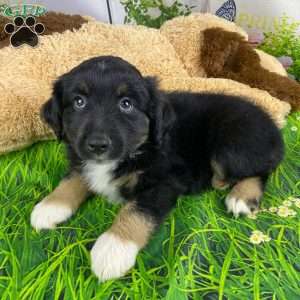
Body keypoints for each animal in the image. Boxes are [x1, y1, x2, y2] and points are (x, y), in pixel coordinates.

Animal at [30, 55, 284, 282]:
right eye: (79, 101)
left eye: (126, 104)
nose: (98, 145)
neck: (133, 151)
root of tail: (273, 127)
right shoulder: (81, 158)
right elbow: (73, 178)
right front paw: (50, 206)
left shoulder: (165, 181)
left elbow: (136, 211)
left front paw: (112, 249)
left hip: (231, 145)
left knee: (262, 168)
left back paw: (241, 196)